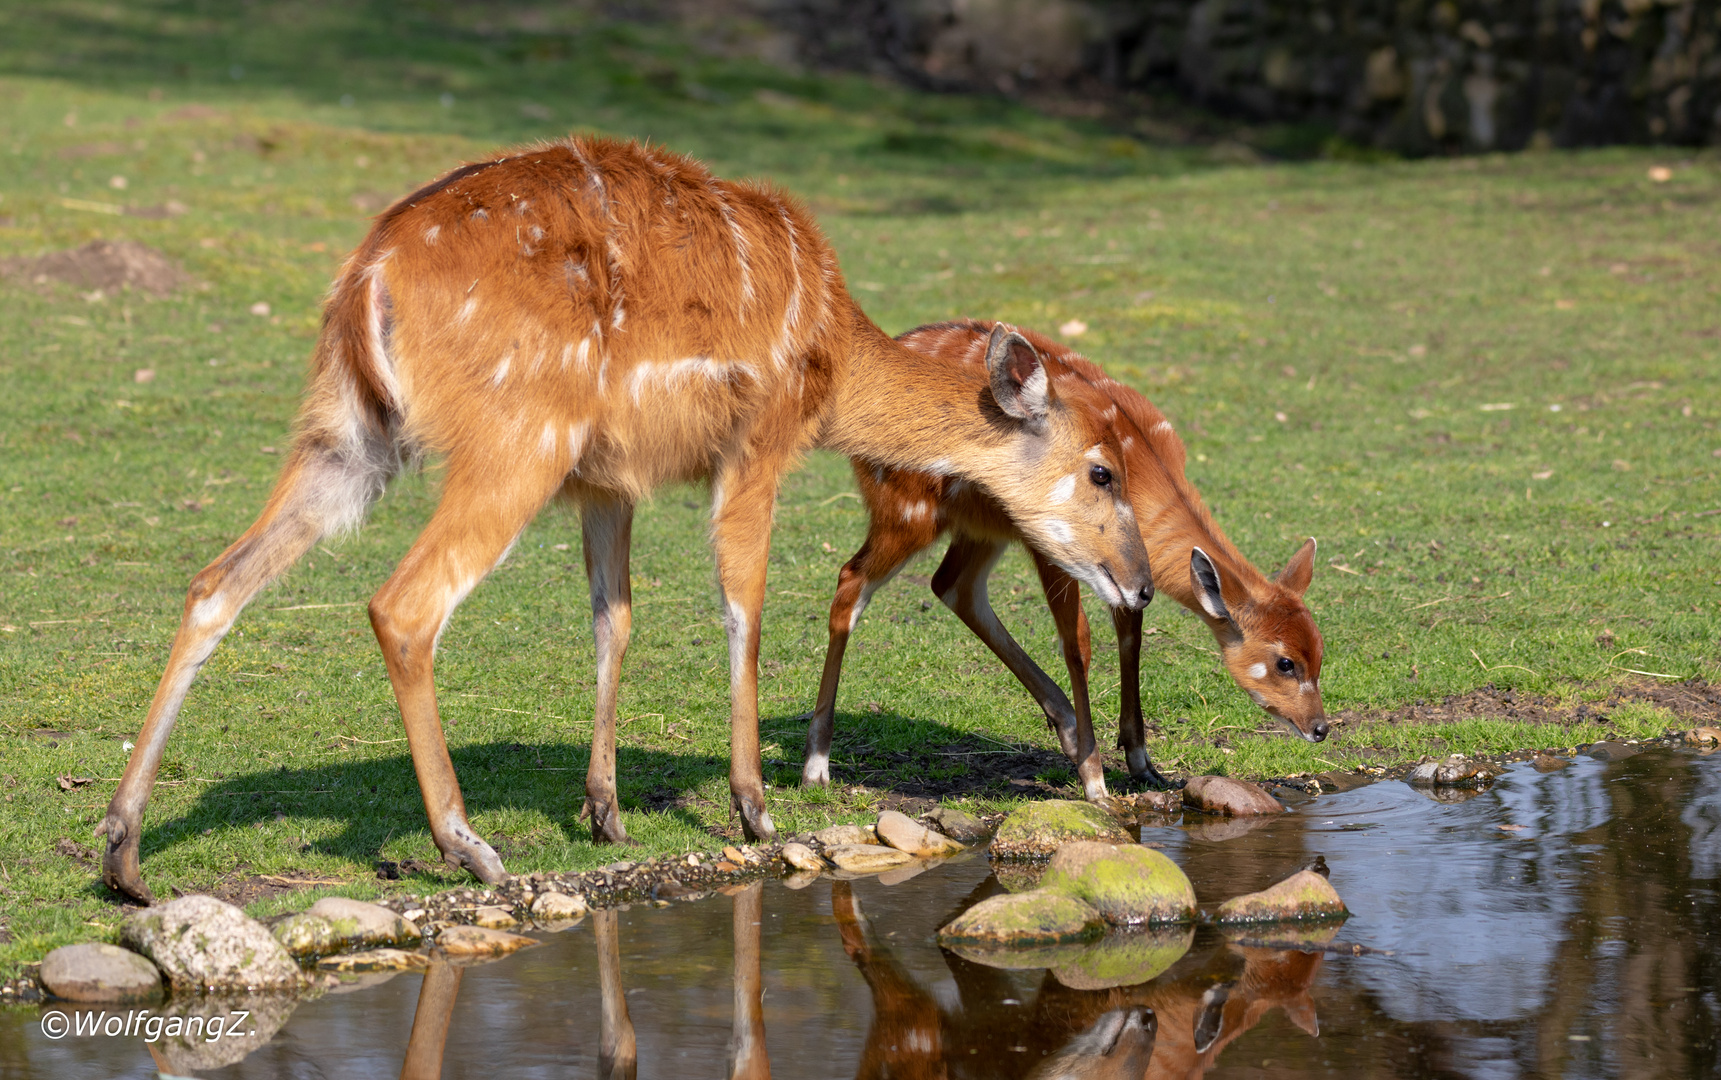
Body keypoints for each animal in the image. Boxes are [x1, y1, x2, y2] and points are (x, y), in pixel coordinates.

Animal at [90, 141, 1156, 901]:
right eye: (1101, 471)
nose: (1141, 582)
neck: (835, 356)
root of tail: (366, 281)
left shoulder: (607, 483)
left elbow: (616, 616)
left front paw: (605, 812)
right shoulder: (754, 447)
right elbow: (742, 604)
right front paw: (755, 810)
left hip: (348, 439)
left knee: (216, 580)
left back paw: (125, 854)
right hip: (512, 445)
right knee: (403, 605)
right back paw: (471, 846)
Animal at [808, 316, 1328, 797]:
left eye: (1320, 651)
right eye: (1285, 662)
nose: (1321, 727)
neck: (1143, 478)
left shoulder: (1126, 575)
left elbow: (1131, 634)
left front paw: (1142, 763)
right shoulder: (1055, 547)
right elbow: (1078, 642)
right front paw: (1095, 781)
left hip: (984, 528)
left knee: (953, 585)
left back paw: (1068, 727)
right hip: (909, 513)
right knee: (852, 580)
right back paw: (817, 765)